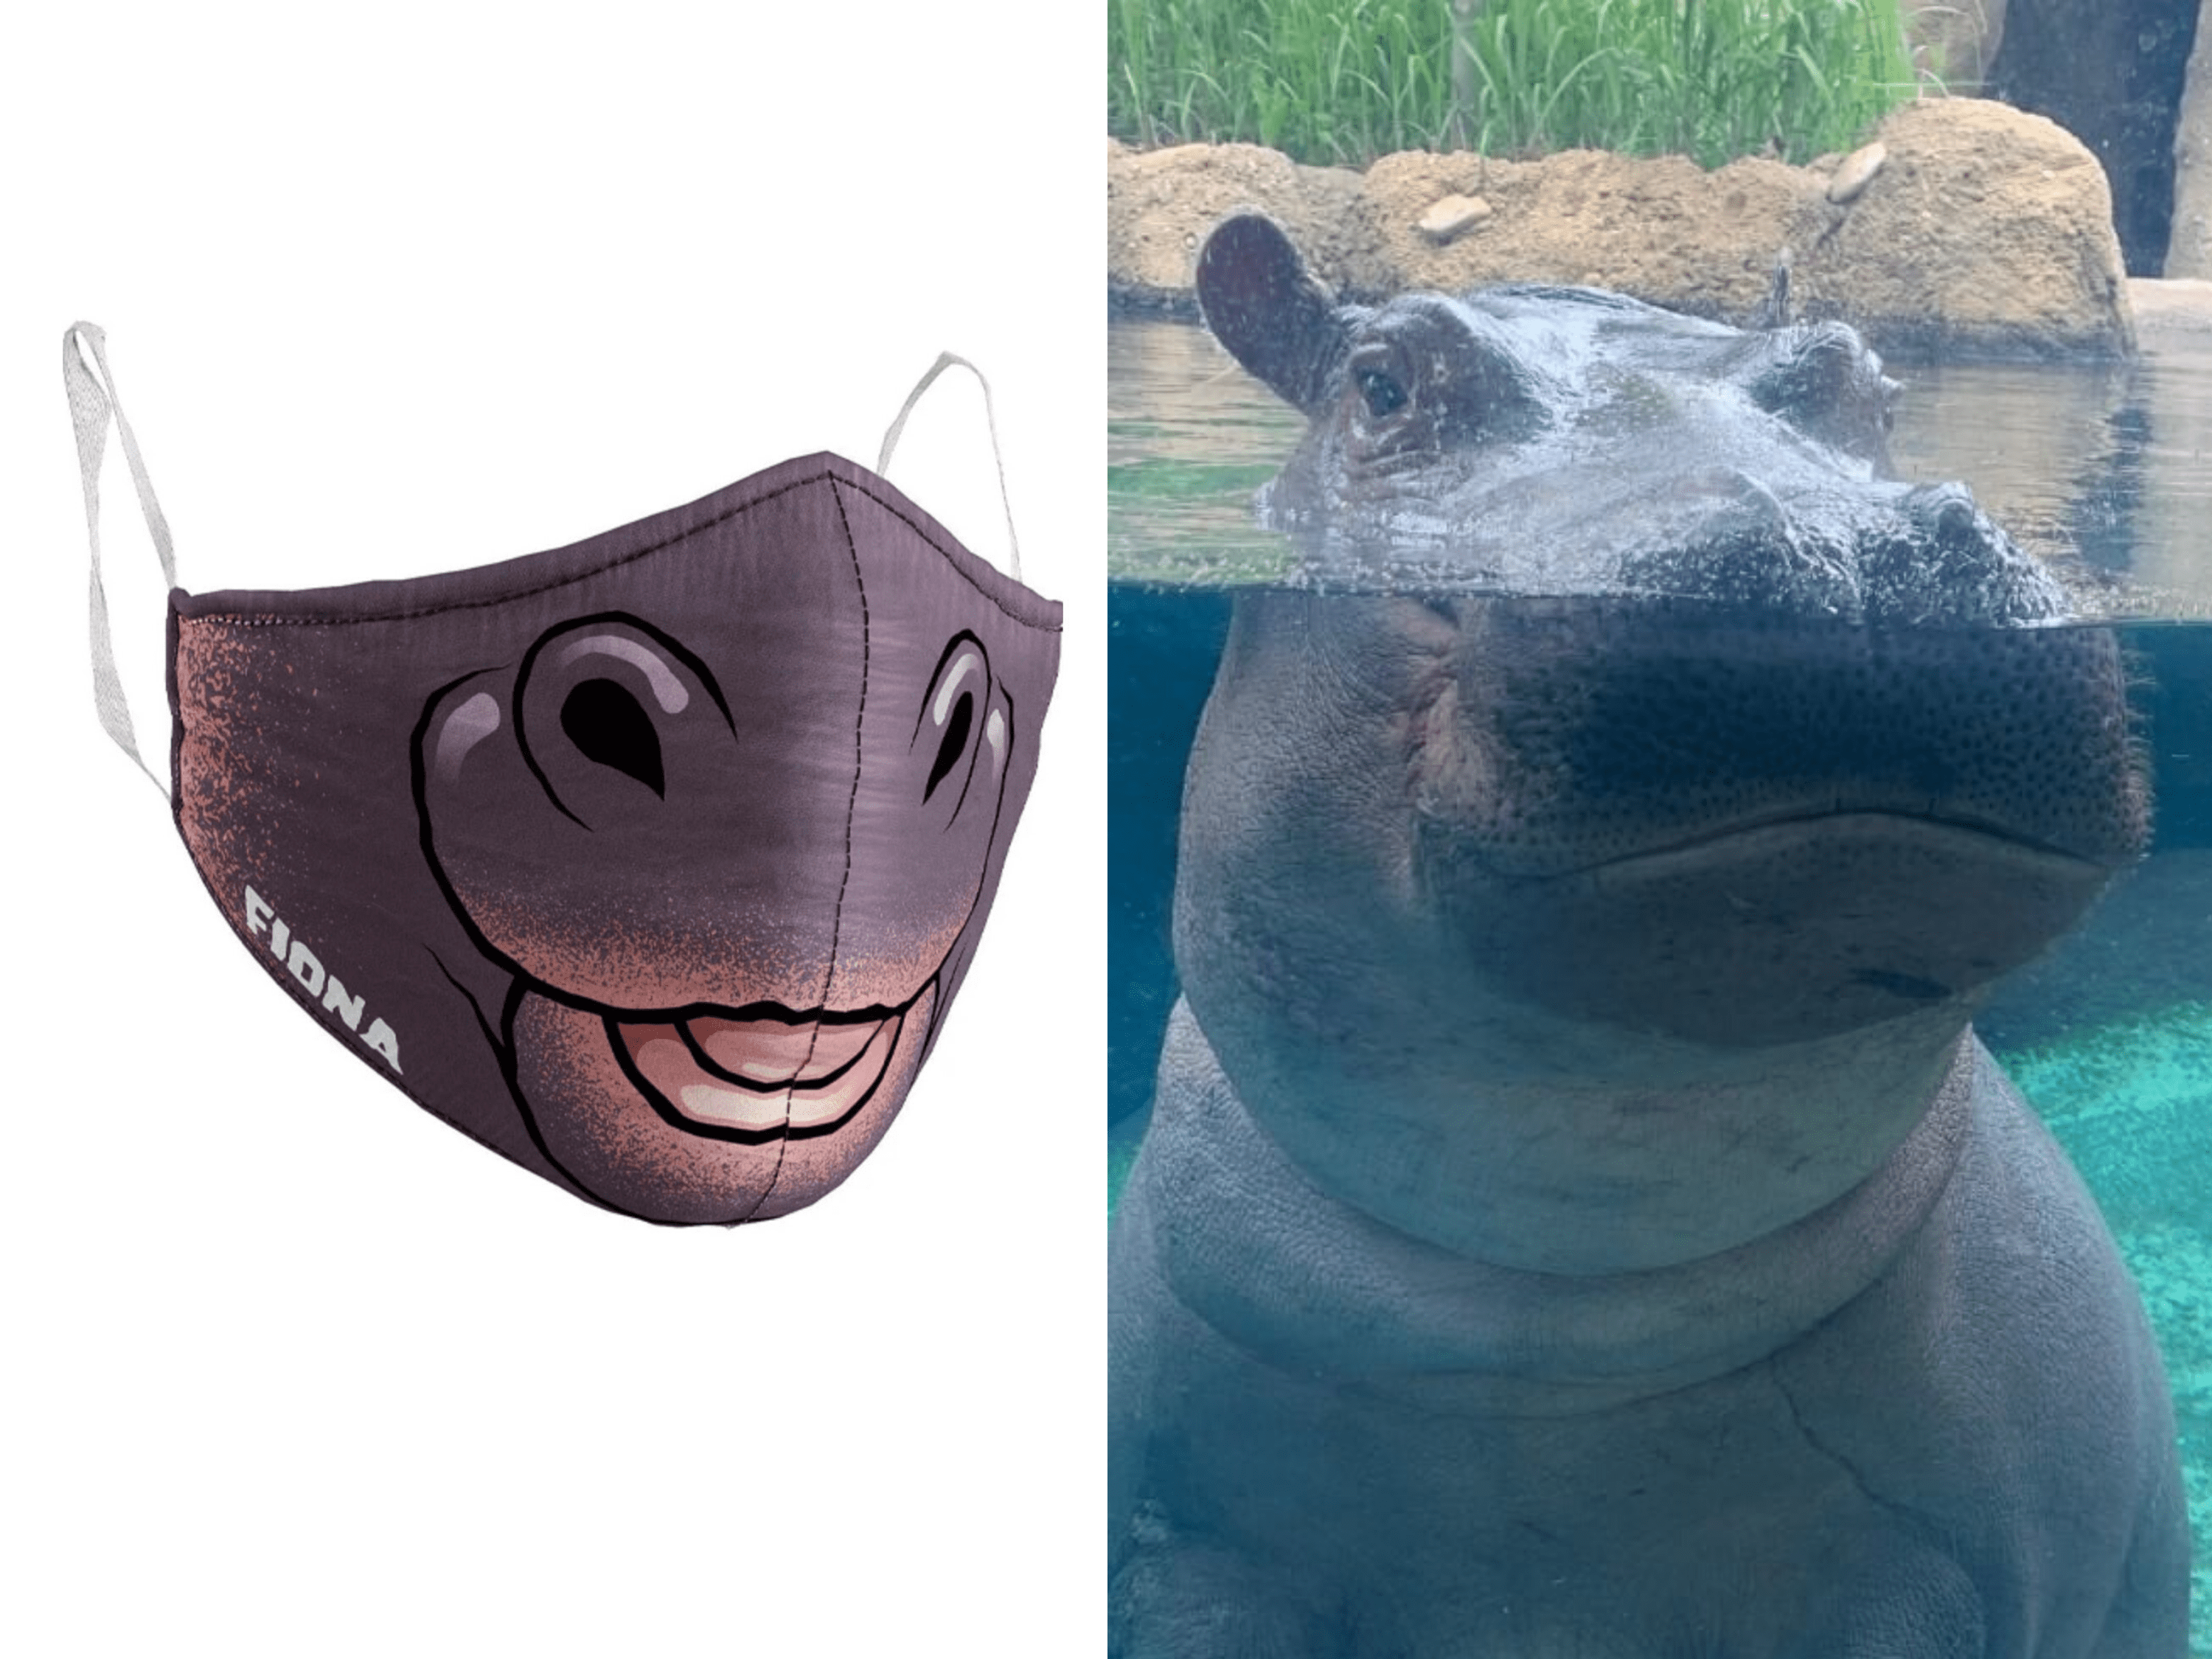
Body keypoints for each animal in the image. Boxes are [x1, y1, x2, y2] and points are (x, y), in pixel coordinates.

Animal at [1107, 217, 2190, 1654]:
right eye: (1380, 384)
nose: (1844, 542)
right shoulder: (1195, 1550)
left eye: (1872, 385)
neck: (1555, 1301)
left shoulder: (1928, 1573)